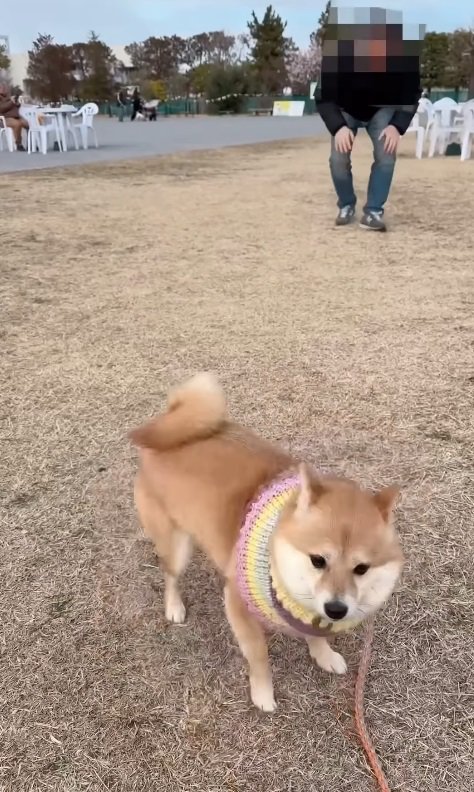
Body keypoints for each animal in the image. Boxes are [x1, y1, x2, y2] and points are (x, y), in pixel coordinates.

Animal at [130, 372, 404, 712]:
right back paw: (174, 607)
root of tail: (170, 422)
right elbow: (259, 656)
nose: (337, 609)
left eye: (362, 568)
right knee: (170, 575)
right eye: (318, 560)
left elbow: (315, 632)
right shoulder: (237, 603)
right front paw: (263, 693)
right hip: (176, 546)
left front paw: (323, 654)